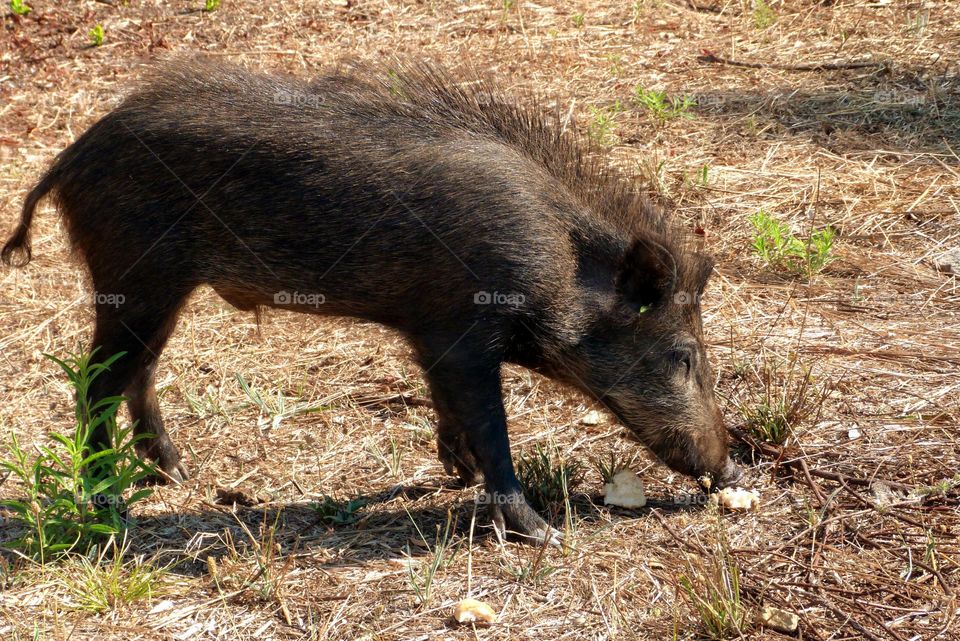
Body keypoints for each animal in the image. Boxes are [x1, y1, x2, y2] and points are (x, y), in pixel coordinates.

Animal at [2, 59, 742, 542]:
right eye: (684, 354)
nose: (726, 466)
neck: (556, 260)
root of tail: (69, 157)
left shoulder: (431, 337)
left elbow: (450, 410)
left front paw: (454, 473)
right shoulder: (462, 332)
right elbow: (492, 427)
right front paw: (540, 533)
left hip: (157, 289)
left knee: (140, 370)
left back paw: (175, 476)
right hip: (135, 276)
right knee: (94, 382)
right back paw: (109, 504)